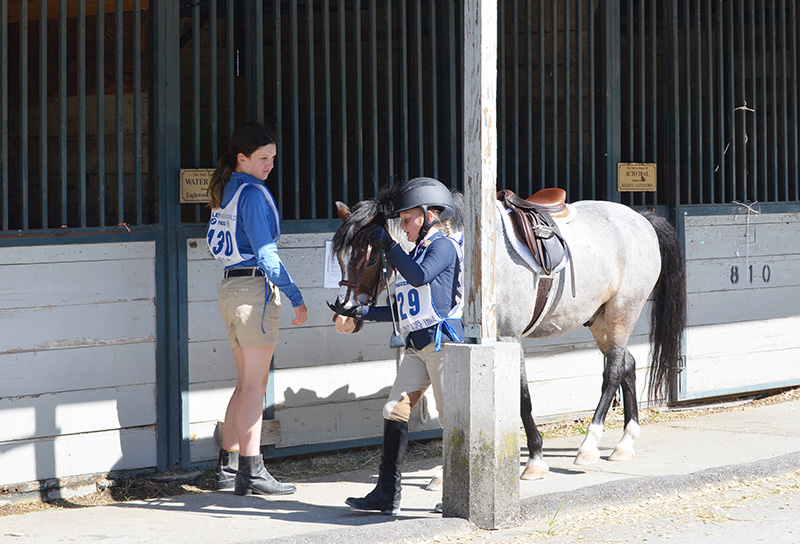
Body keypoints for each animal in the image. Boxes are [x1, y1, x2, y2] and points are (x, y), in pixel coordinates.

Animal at [328, 187, 684, 480]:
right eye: (341, 257)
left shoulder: (509, 338)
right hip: (600, 319)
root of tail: (641, 219)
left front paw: (535, 460)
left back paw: (588, 446)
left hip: (623, 311)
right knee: (626, 364)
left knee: (612, 373)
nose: (344, 317)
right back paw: (625, 443)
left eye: (370, 256)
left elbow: (522, 398)